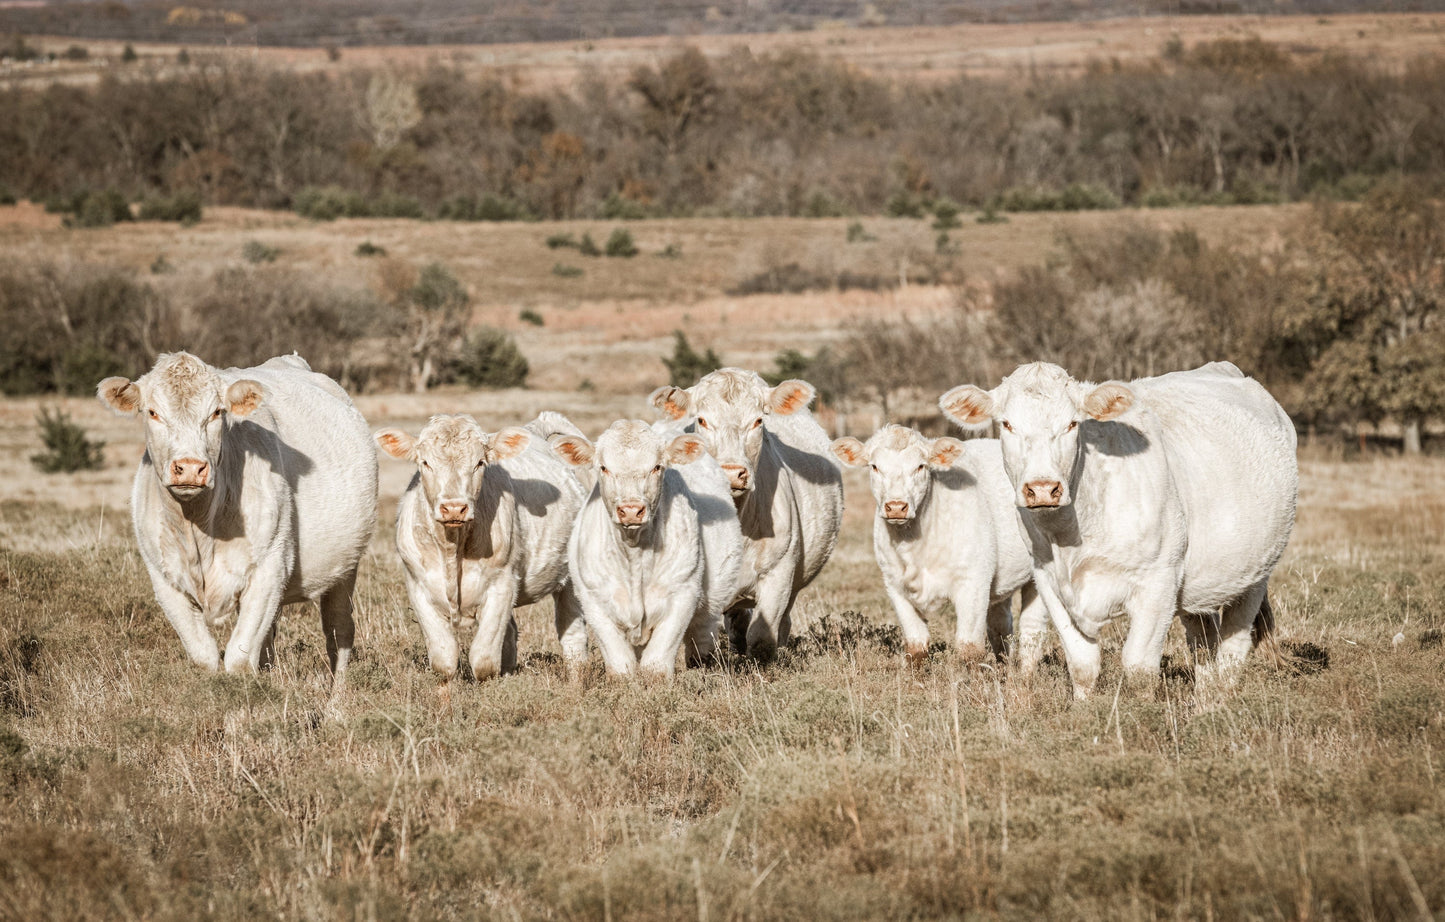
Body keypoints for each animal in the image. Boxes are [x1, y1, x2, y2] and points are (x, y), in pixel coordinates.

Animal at [96, 349, 378, 676]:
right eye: (152, 412)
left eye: (217, 412)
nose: (190, 467)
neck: (198, 526)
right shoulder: (164, 579)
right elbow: (205, 657)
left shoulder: (270, 567)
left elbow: (239, 660)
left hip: (345, 566)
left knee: (338, 630)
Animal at [378, 416, 592, 682]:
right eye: (425, 462)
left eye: (479, 463)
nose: (454, 508)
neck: (453, 547)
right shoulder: (418, 586)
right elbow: (444, 660)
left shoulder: (502, 585)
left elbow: (484, 661)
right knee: (510, 635)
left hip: (570, 580)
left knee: (573, 638)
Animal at [832, 427, 1046, 670]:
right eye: (874, 466)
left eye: (920, 466)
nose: (896, 506)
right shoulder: (894, 585)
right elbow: (916, 645)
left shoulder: (973, 582)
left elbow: (969, 647)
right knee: (1001, 625)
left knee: (1032, 631)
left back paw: (1026, 673)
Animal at [936, 362, 1300, 699]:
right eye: (1007, 424)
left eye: (1072, 423)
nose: (1042, 489)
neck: (1069, 537)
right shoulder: (1049, 581)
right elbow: (1082, 666)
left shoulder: (1158, 581)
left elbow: (1139, 668)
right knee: (1204, 644)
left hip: (1255, 574)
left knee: (1233, 649)